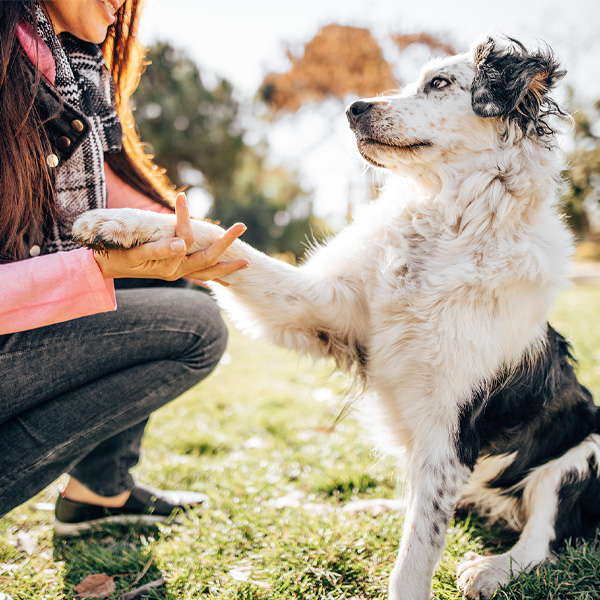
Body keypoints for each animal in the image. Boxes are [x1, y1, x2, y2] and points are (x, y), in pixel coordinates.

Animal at [72, 37, 596, 600]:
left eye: (439, 83)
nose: (353, 108)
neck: (446, 222)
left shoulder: (450, 429)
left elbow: (416, 554)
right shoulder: (323, 308)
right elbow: (222, 240)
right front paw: (121, 223)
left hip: (581, 454)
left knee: (540, 538)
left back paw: (491, 568)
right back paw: (374, 505)